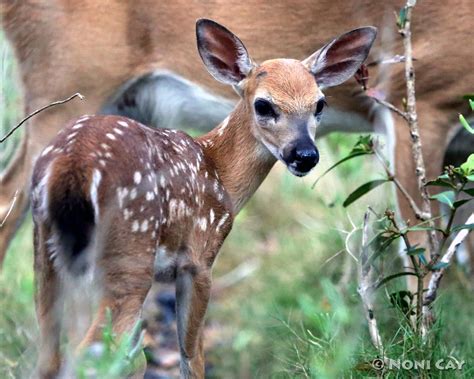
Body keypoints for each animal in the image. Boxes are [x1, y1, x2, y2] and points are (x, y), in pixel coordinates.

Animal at [1, 0, 472, 270]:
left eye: (321, 104)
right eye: (263, 106)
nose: (305, 156)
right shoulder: (420, 97)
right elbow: (426, 247)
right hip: (65, 80)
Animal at [30, 19, 378, 378]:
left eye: (319, 103)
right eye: (264, 105)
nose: (305, 155)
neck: (219, 172)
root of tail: (72, 166)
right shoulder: (199, 257)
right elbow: (191, 353)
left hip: (47, 253)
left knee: (50, 356)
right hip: (130, 251)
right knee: (92, 353)